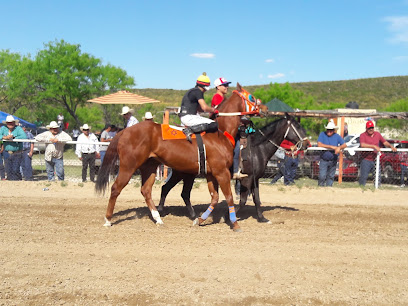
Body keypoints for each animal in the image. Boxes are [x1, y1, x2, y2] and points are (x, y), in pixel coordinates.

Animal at [95, 82, 262, 231]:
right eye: (252, 97)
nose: (264, 108)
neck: (220, 133)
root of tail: (124, 131)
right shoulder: (221, 172)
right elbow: (229, 197)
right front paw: (235, 224)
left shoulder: (211, 174)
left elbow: (214, 198)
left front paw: (199, 220)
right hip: (129, 166)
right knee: (116, 188)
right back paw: (108, 219)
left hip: (150, 166)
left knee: (146, 190)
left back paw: (158, 218)